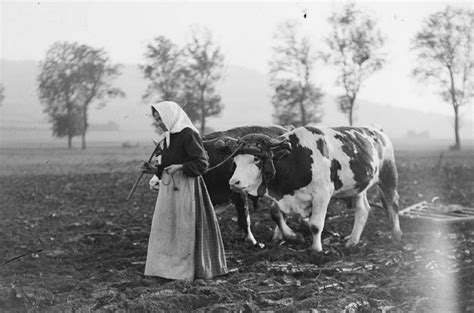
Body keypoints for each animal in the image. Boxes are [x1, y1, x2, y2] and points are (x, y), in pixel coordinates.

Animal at [228, 125, 402, 250]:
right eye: (235, 160)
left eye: (256, 159)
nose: (233, 182)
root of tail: (379, 132)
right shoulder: (284, 195)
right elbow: (276, 213)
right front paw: (291, 236)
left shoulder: (322, 194)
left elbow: (315, 225)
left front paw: (316, 249)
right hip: (358, 187)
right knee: (363, 210)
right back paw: (352, 241)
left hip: (388, 175)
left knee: (392, 203)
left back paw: (396, 234)